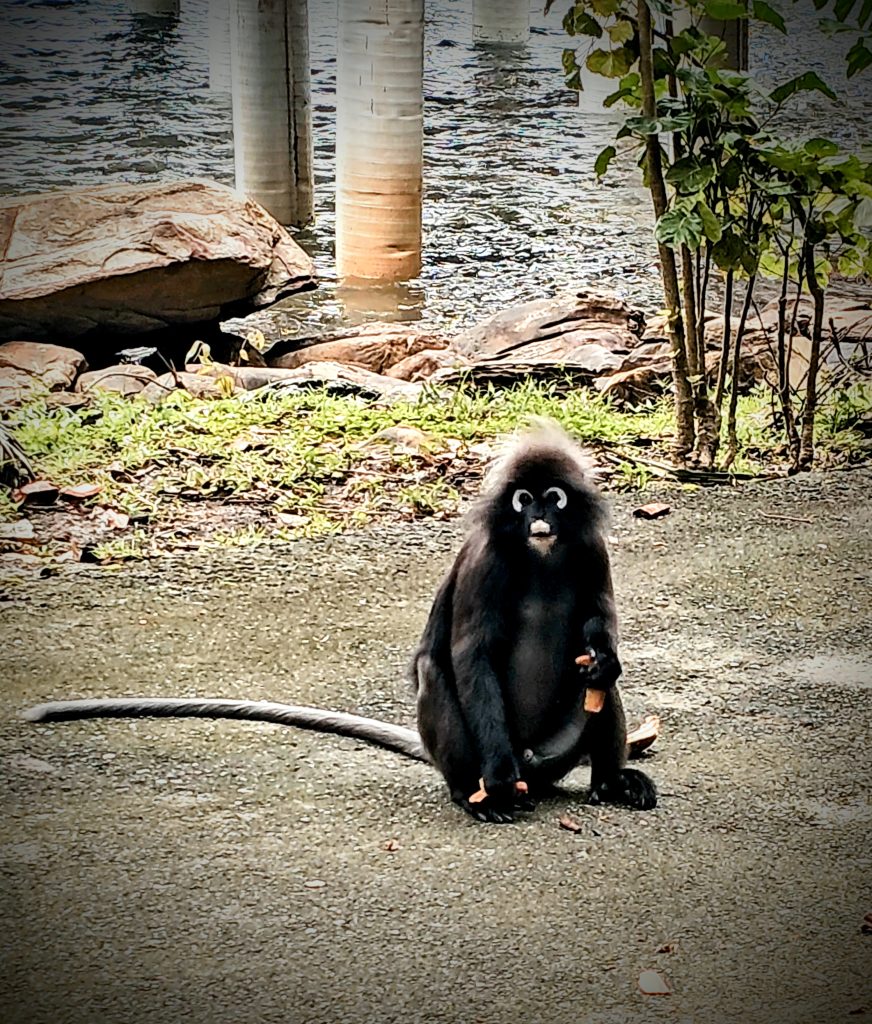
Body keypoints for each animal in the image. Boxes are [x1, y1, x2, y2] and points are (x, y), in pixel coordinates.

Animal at [24, 423, 657, 823]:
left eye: (554, 498)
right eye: (524, 501)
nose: (541, 523)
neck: (542, 556)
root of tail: (538, 768)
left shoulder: (590, 550)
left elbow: (600, 629)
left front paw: (604, 659)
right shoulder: (488, 559)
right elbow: (470, 656)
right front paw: (498, 781)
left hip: (556, 751)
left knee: (603, 689)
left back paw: (610, 781)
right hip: (483, 751)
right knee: (438, 673)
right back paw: (478, 794)